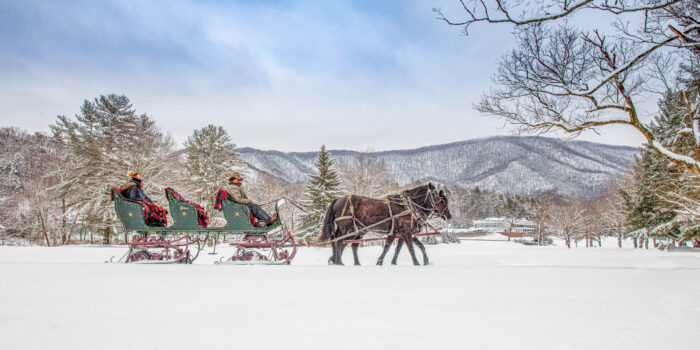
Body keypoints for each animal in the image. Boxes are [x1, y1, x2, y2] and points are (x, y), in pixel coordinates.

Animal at [318, 183, 452, 266]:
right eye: (442, 200)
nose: (448, 216)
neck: (409, 206)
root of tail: (338, 199)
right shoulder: (406, 231)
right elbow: (411, 248)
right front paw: (417, 263)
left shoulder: (398, 233)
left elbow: (393, 248)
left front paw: (386, 262)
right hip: (347, 228)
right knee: (339, 242)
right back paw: (339, 261)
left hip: (356, 230)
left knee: (348, 244)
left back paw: (346, 262)